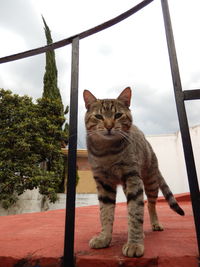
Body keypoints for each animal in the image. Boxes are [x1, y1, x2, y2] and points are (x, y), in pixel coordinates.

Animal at [83, 87, 184, 258]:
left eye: (118, 115)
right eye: (98, 116)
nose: (109, 126)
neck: (107, 151)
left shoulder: (132, 178)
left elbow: (135, 212)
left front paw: (134, 243)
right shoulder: (103, 183)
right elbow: (105, 213)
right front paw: (104, 238)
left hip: (150, 181)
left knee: (150, 205)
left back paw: (154, 224)